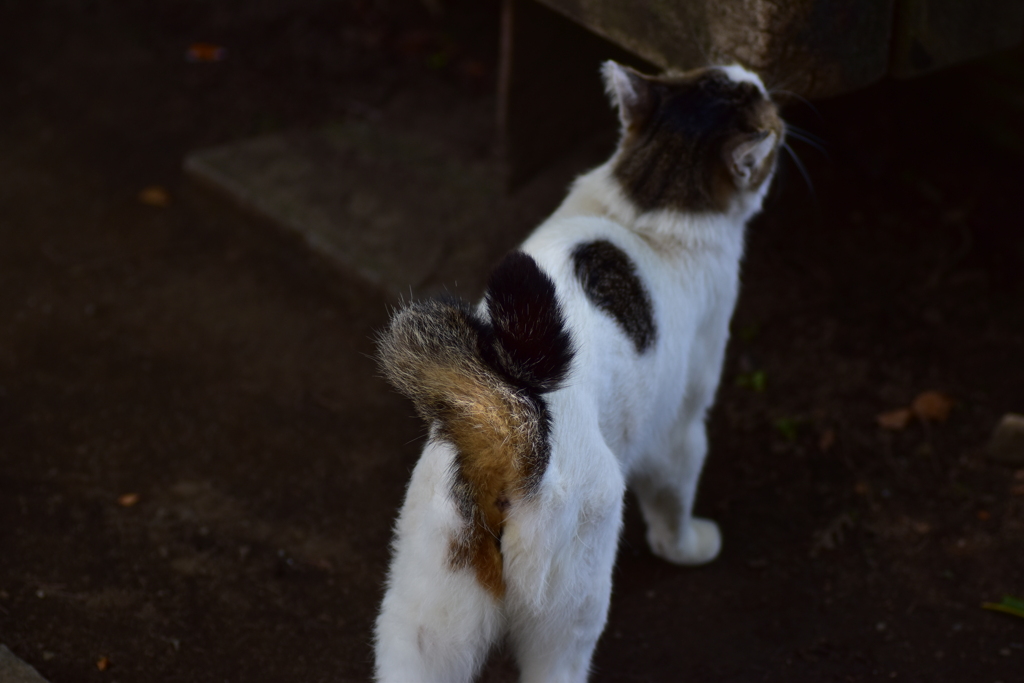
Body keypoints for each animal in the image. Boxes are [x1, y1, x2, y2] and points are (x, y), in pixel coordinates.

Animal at [376, 60, 782, 683]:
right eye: (759, 100)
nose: (753, 73)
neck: (647, 203)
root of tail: (511, 440)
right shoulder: (681, 425)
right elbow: (674, 498)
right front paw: (688, 545)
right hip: (575, 604)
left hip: (423, 628)